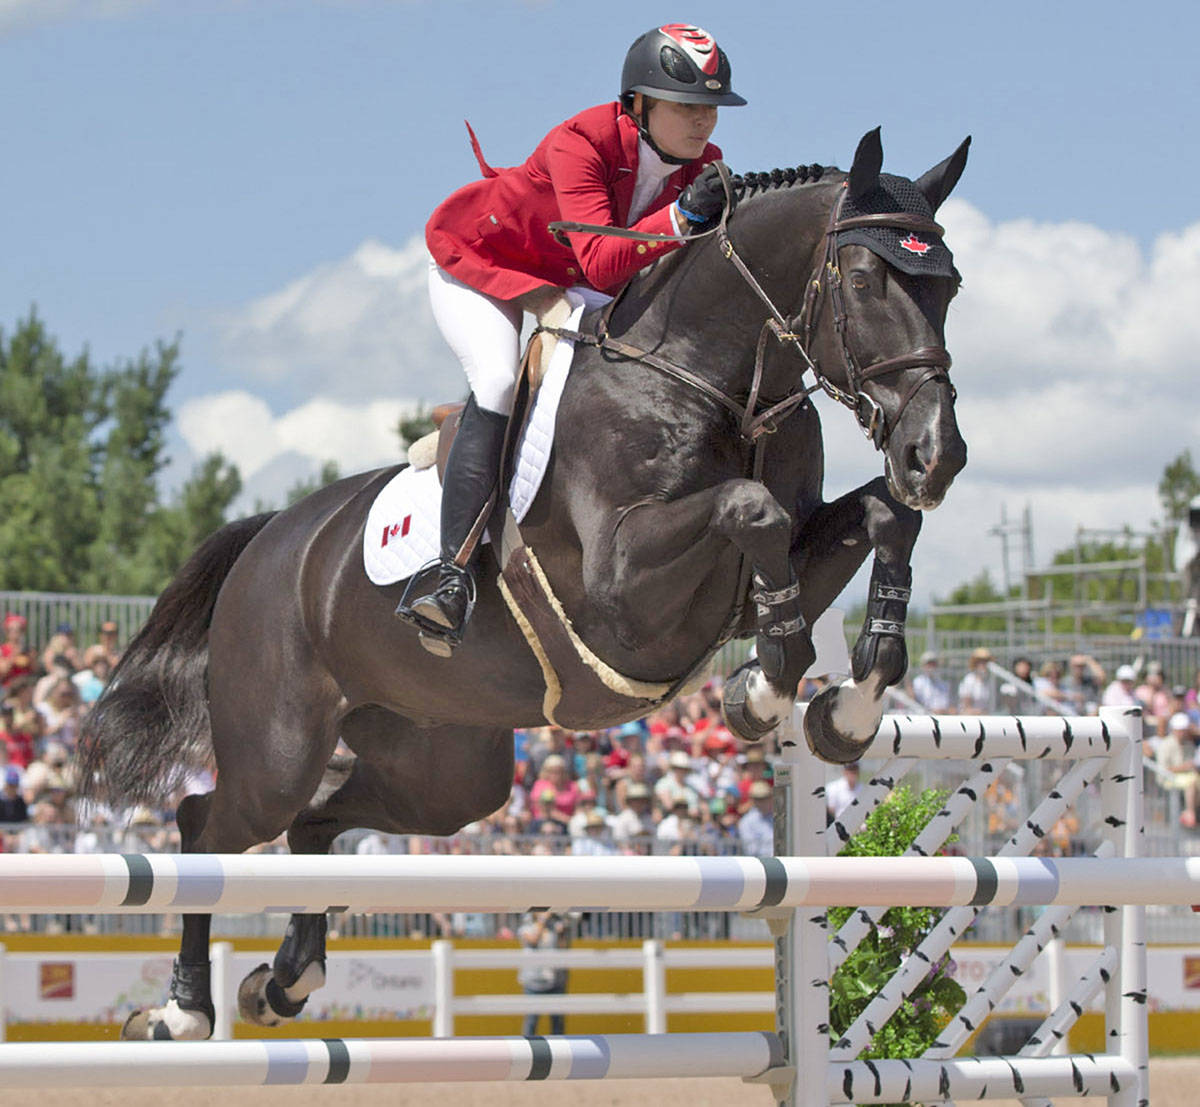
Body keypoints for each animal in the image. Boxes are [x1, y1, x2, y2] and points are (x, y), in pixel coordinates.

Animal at [79, 127, 964, 1037]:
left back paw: (285, 980)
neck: (716, 382)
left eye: (951, 285)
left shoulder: (775, 556)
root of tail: (269, 539)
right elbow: (752, 511)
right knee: (212, 822)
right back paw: (181, 1011)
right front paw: (762, 690)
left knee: (316, 822)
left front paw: (847, 708)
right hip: (278, 745)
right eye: (862, 279)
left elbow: (884, 516)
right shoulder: (624, 593)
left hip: (443, 769)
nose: (938, 454)